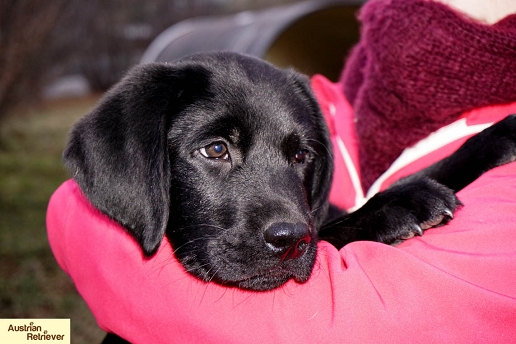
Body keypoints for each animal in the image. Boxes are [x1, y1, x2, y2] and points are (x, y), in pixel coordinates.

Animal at [64, 51, 516, 292]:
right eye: (215, 149)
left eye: (301, 155)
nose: (290, 241)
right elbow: (330, 230)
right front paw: (396, 206)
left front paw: (495, 136)